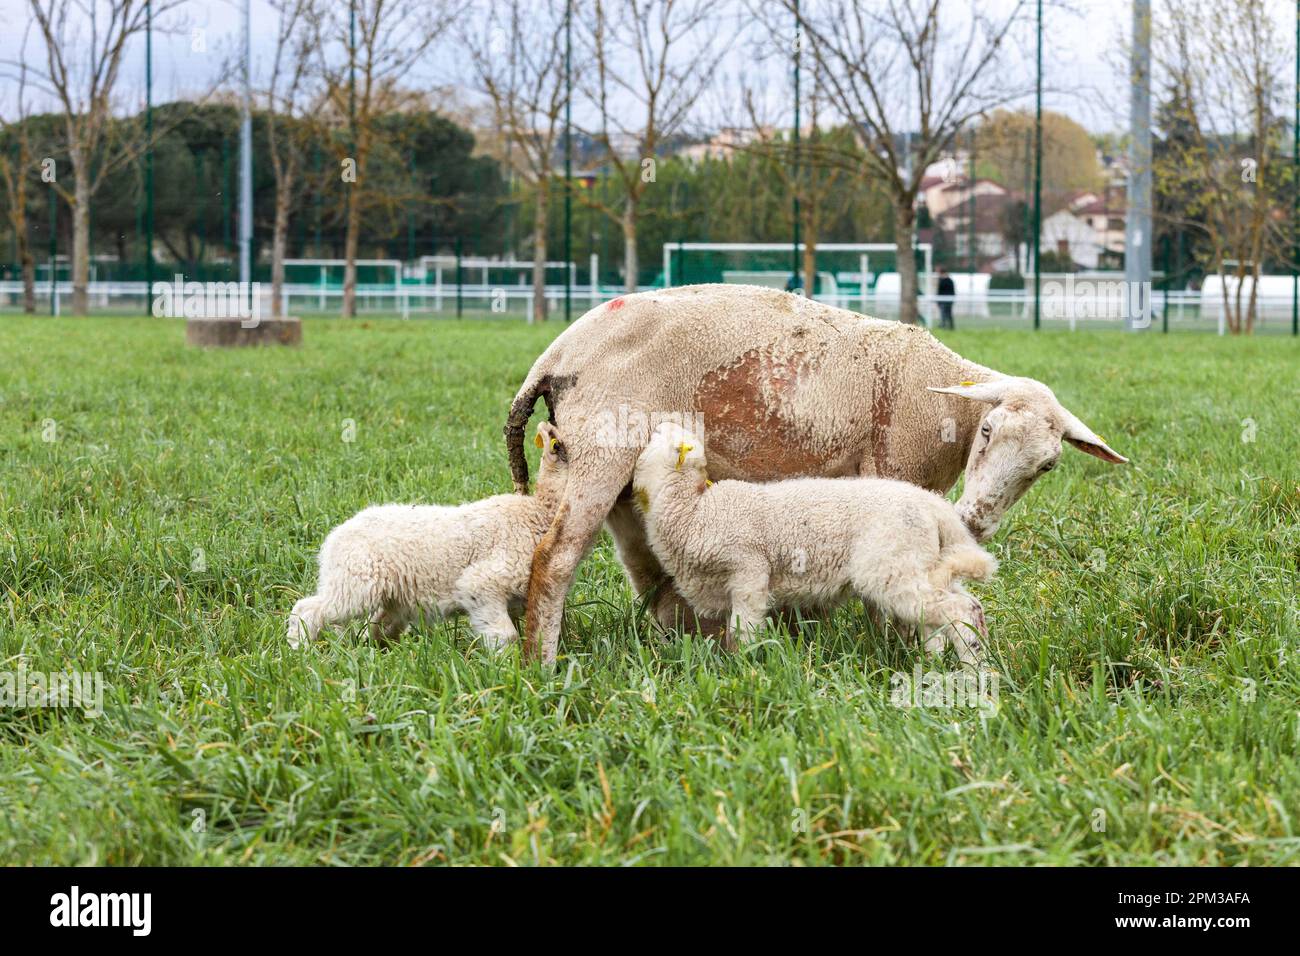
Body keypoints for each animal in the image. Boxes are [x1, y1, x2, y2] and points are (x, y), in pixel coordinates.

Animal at [287, 424, 572, 655]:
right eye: (557, 445)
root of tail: (334, 538)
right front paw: (506, 669)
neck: (537, 513)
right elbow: (506, 635)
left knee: (379, 626)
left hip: (390, 597)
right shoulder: (481, 584)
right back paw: (299, 648)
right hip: (354, 583)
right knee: (309, 609)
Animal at [634, 421, 998, 671]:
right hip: (927, 565)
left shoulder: (749, 568)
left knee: (958, 609)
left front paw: (744, 666)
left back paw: (972, 669)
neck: (693, 510)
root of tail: (932, 505)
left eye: (659, 435)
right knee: (961, 608)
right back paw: (955, 661)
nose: (658, 422)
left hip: (892, 566)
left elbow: (743, 628)